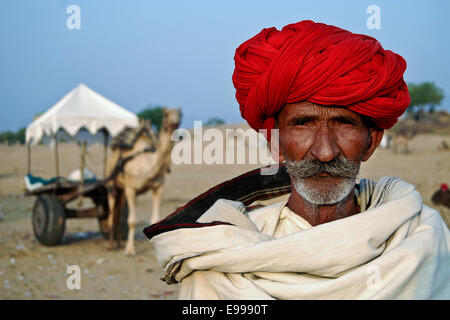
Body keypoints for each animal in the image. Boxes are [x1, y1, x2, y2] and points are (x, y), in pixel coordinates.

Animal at [105, 107, 181, 255]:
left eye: (180, 114)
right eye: (166, 114)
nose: (175, 121)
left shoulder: (159, 188)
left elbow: (155, 219)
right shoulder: (131, 189)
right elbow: (132, 221)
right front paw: (130, 250)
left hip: (121, 190)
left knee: (118, 211)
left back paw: (119, 242)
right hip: (111, 184)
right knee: (111, 213)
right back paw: (111, 245)